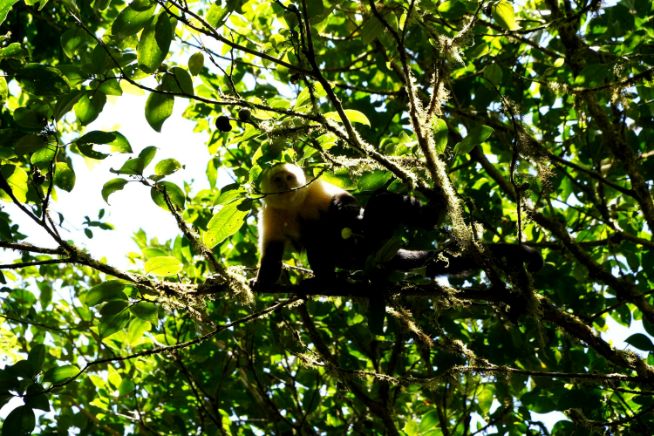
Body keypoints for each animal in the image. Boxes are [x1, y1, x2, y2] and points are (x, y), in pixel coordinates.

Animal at [252, 163, 542, 289]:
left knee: (382, 204)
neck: (294, 204)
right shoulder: (270, 213)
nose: (285, 183)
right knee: (318, 246)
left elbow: (345, 201)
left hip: (377, 239)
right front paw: (262, 282)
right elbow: (272, 254)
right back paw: (325, 281)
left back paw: (433, 213)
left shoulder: (312, 189)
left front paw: (344, 208)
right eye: (277, 179)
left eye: (290, 177)